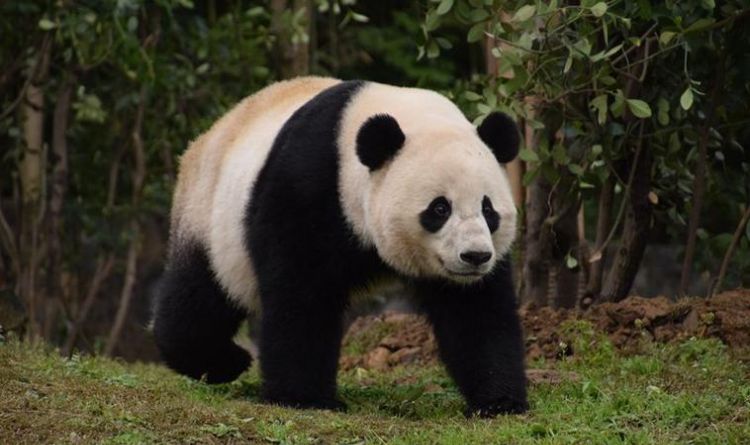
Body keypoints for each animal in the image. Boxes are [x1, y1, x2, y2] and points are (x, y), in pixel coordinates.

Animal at [153, 77, 528, 416]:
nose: (475, 257)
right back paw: (221, 362)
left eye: (488, 210)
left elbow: (476, 311)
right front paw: (305, 398)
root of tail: (209, 134)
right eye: (439, 209)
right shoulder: (307, 187)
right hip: (211, 218)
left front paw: (499, 401)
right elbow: (301, 295)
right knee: (200, 296)